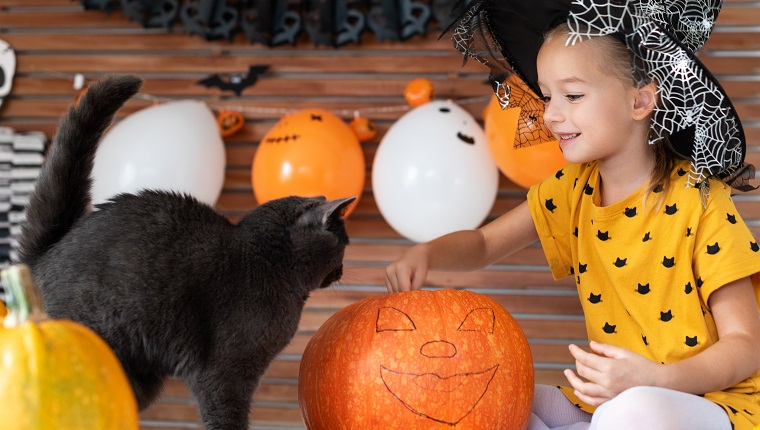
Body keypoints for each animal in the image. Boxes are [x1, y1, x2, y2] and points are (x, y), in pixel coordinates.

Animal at [14, 74, 354, 430]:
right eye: (343, 242)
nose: (344, 267)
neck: (268, 261)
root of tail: (41, 257)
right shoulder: (225, 374)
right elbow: (226, 416)